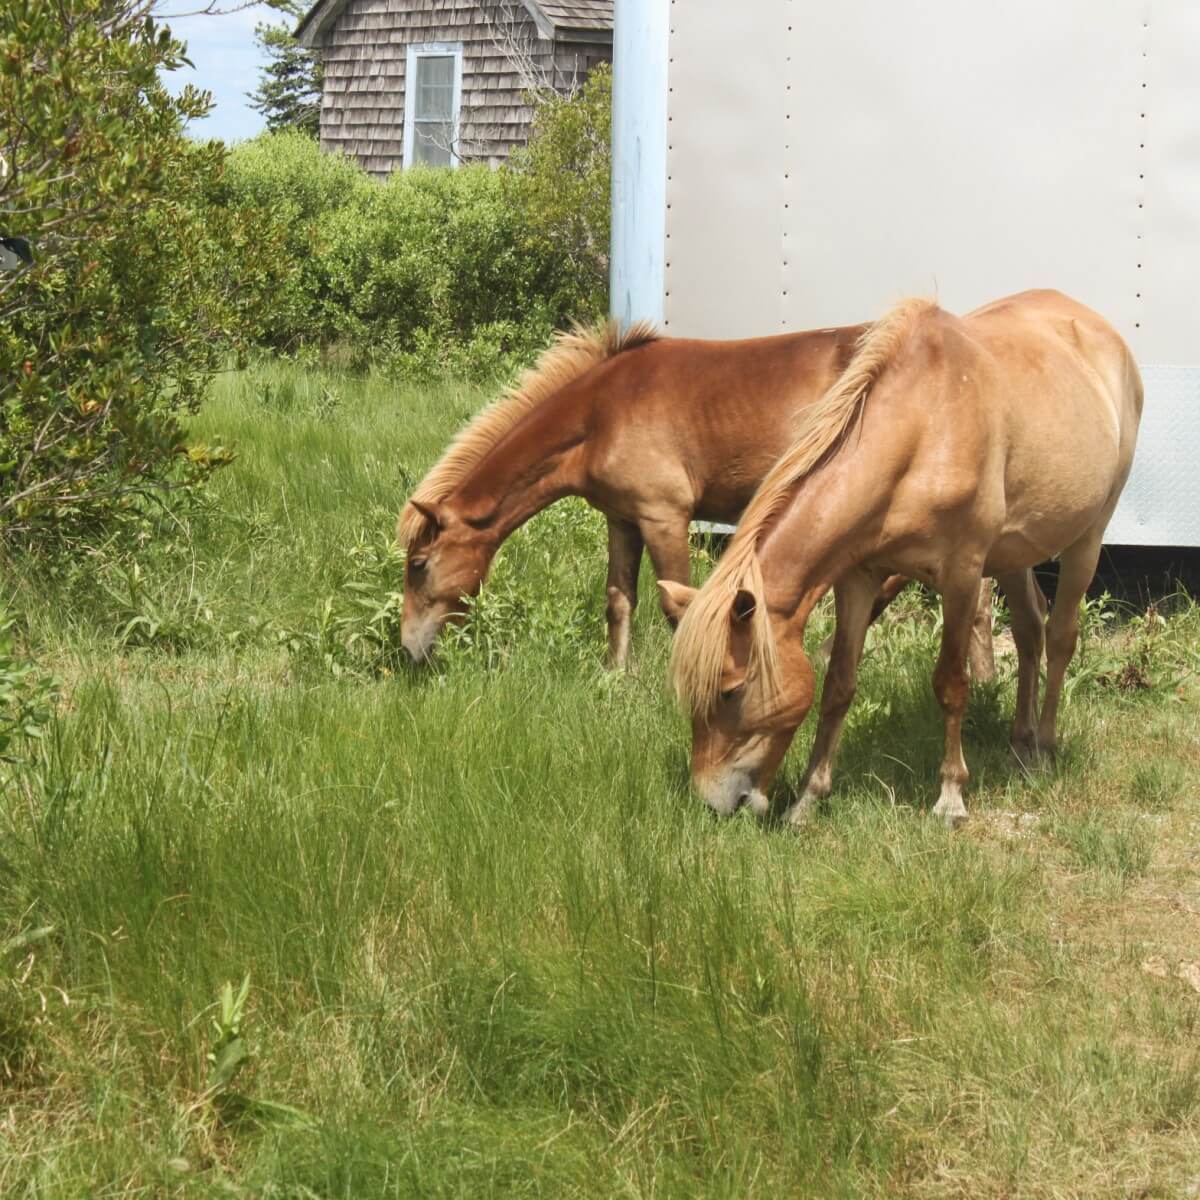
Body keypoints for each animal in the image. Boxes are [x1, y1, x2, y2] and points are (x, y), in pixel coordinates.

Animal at [396, 321, 997, 670]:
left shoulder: (665, 516)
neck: (601, 413)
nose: (409, 649)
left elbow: (673, 602)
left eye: (419, 565)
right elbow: (619, 599)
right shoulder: (623, 520)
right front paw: (615, 677)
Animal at [662, 289, 1142, 828]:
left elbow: (951, 683)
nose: (712, 802)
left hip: (1089, 535)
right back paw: (1021, 742)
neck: (922, 429)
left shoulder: (962, 575)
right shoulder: (858, 576)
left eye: (730, 690)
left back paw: (1044, 747)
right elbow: (838, 685)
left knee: (1060, 637)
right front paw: (809, 798)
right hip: (1015, 552)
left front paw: (950, 796)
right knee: (1028, 631)